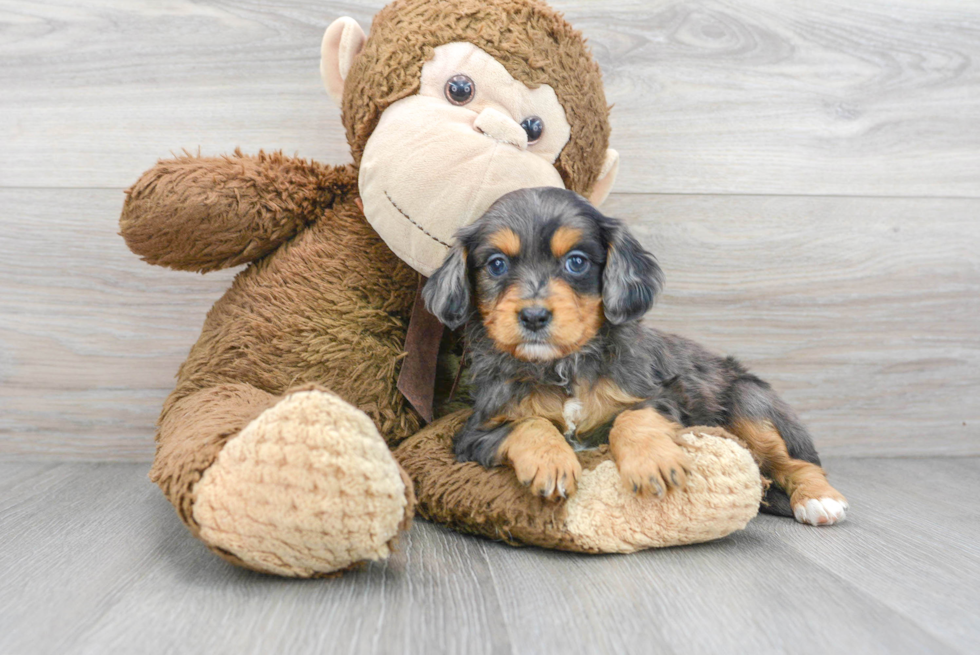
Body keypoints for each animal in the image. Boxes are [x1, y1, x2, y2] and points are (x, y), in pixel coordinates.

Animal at [424, 187, 848, 524]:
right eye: (497, 264)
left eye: (576, 261)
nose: (533, 316)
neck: (564, 368)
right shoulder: (475, 433)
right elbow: (529, 423)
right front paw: (552, 461)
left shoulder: (664, 398)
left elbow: (633, 416)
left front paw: (651, 463)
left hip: (751, 405)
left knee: (797, 461)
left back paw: (818, 501)